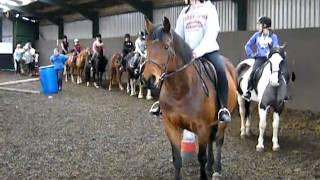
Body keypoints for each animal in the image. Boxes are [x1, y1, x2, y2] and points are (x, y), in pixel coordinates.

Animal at [142, 17, 238, 179]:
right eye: (146, 47)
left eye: (166, 47)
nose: (148, 79)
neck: (180, 91)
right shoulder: (171, 126)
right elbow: (177, 159)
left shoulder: (202, 127)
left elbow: (201, 157)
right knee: (212, 141)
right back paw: (211, 166)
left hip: (222, 121)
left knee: (219, 141)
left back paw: (217, 170)